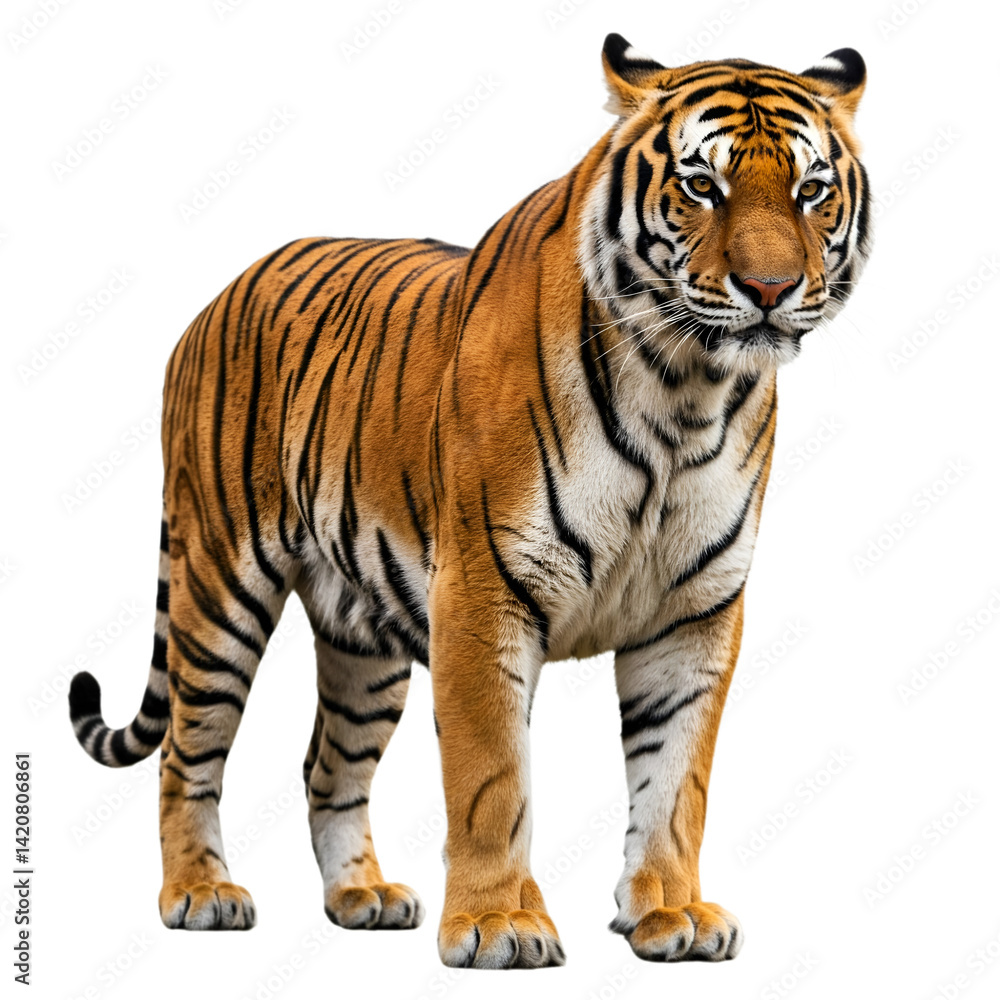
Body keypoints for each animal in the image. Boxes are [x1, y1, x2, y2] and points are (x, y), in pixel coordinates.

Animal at [69, 33, 871, 968]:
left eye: (811, 191)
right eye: (702, 185)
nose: (771, 290)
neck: (686, 392)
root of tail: (214, 299)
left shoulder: (695, 613)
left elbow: (677, 781)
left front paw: (672, 912)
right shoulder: (485, 591)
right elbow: (493, 779)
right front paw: (498, 926)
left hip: (361, 636)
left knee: (327, 767)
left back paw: (362, 896)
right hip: (219, 582)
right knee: (185, 752)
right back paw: (199, 893)